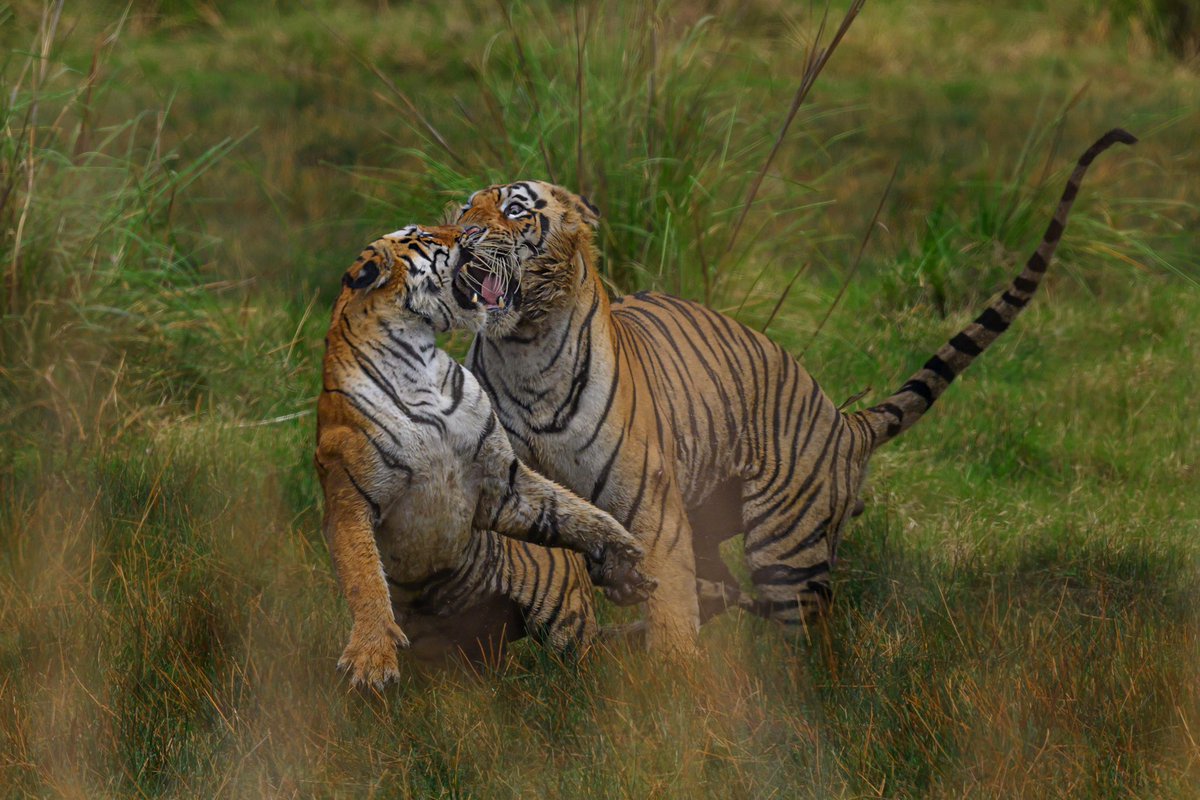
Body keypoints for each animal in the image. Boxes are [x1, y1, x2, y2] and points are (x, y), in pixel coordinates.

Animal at [315, 223, 655, 686]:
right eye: (424, 235)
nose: (471, 229)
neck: (420, 361)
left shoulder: (501, 481)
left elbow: (570, 509)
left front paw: (625, 549)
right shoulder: (350, 498)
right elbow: (363, 576)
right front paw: (372, 659)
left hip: (562, 616)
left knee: (578, 660)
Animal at [453, 129, 1137, 653]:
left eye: (514, 210)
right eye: (465, 210)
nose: (460, 238)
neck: (525, 349)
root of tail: (843, 421)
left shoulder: (650, 505)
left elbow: (671, 615)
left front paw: (673, 698)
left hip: (787, 550)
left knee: (809, 643)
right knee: (723, 593)